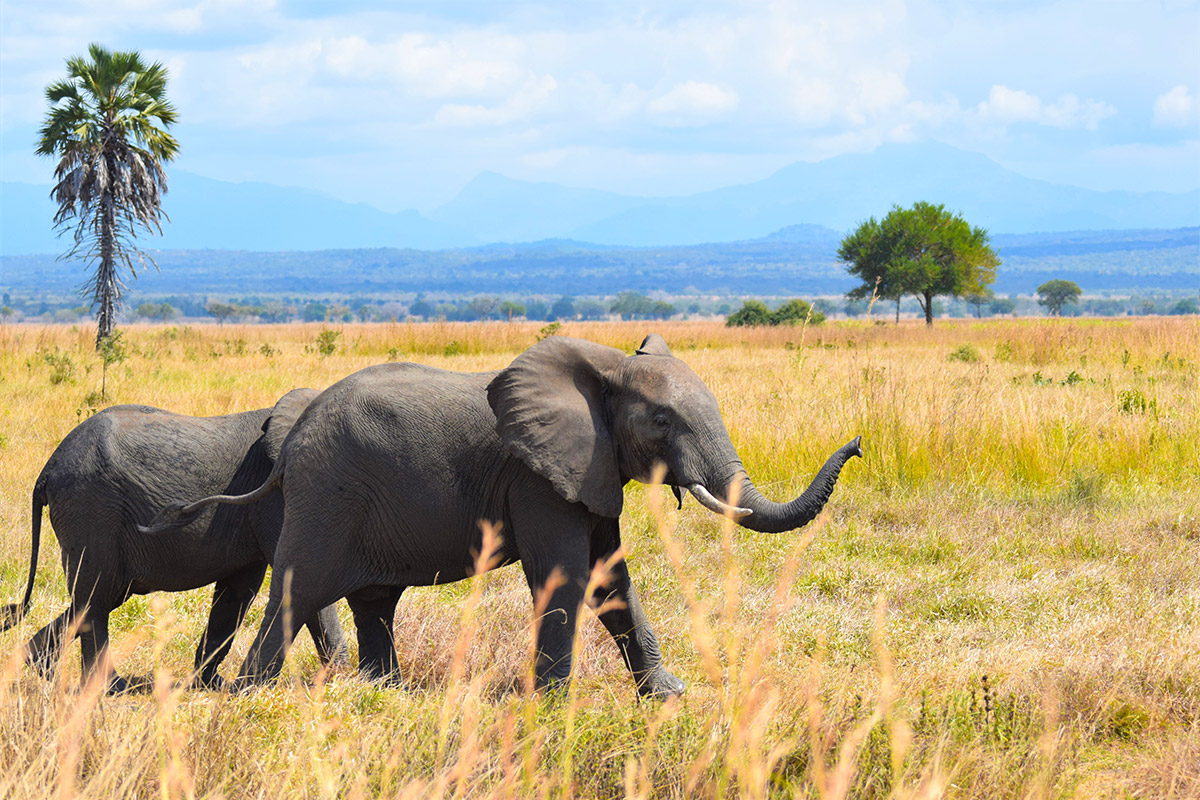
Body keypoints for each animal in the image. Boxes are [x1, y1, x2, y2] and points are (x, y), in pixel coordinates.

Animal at [1, 391, 348, 690]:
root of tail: (47, 470)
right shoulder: (280, 495)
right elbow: (303, 575)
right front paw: (341, 682)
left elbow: (237, 592)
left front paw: (211, 685)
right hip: (91, 505)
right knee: (96, 598)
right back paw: (113, 688)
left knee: (98, 597)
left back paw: (38, 668)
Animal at [150, 335, 864, 695]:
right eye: (663, 422)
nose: (858, 444)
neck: (604, 368)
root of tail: (293, 438)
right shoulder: (538, 480)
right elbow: (567, 576)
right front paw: (551, 702)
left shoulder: (589, 471)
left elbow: (611, 580)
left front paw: (667, 694)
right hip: (329, 493)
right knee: (297, 593)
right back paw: (252, 695)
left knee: (373, 600)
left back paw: (386, 694)